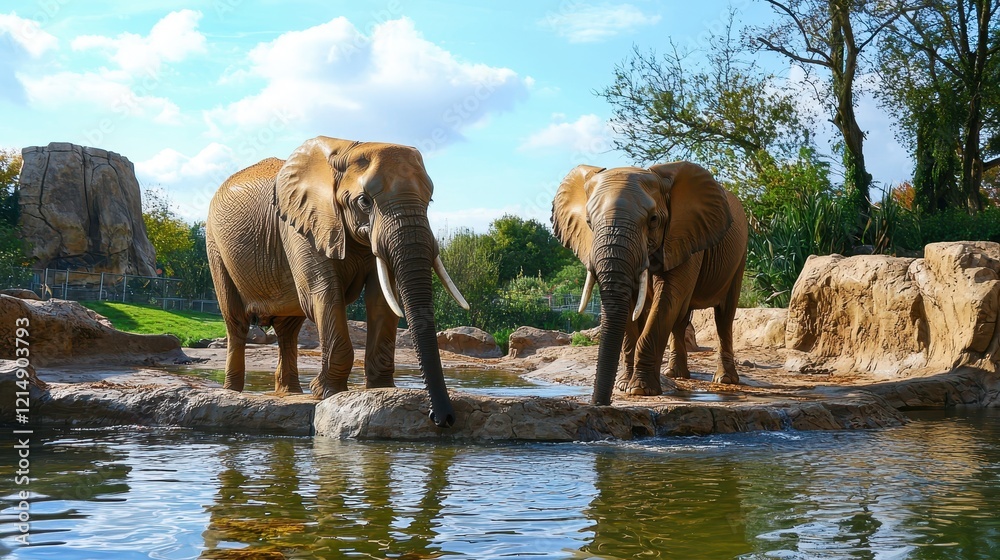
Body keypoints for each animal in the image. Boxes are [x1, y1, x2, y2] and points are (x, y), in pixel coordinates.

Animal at [206, 136, 469, 427]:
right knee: (236, 322)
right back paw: (232, 392)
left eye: (429, 200)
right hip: (215, 246)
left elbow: (382, 299)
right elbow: (322, 293)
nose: (442, 418)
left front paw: (381, 389)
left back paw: (289, 393)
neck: (348, 148)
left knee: (289, 329)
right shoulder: (301, 225)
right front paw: (326, 392)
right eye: (364, 201)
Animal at [551, 161, 748, 405]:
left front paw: (640, 390)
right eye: (588, 222)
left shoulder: (682, 235)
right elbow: (633, 306)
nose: (600, 402)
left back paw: (724, 380)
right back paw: (676, 375)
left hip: (740, 256)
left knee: (724, 315)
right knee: (681, 318)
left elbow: (667, 299)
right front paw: (623, 385)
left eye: (653, 220)